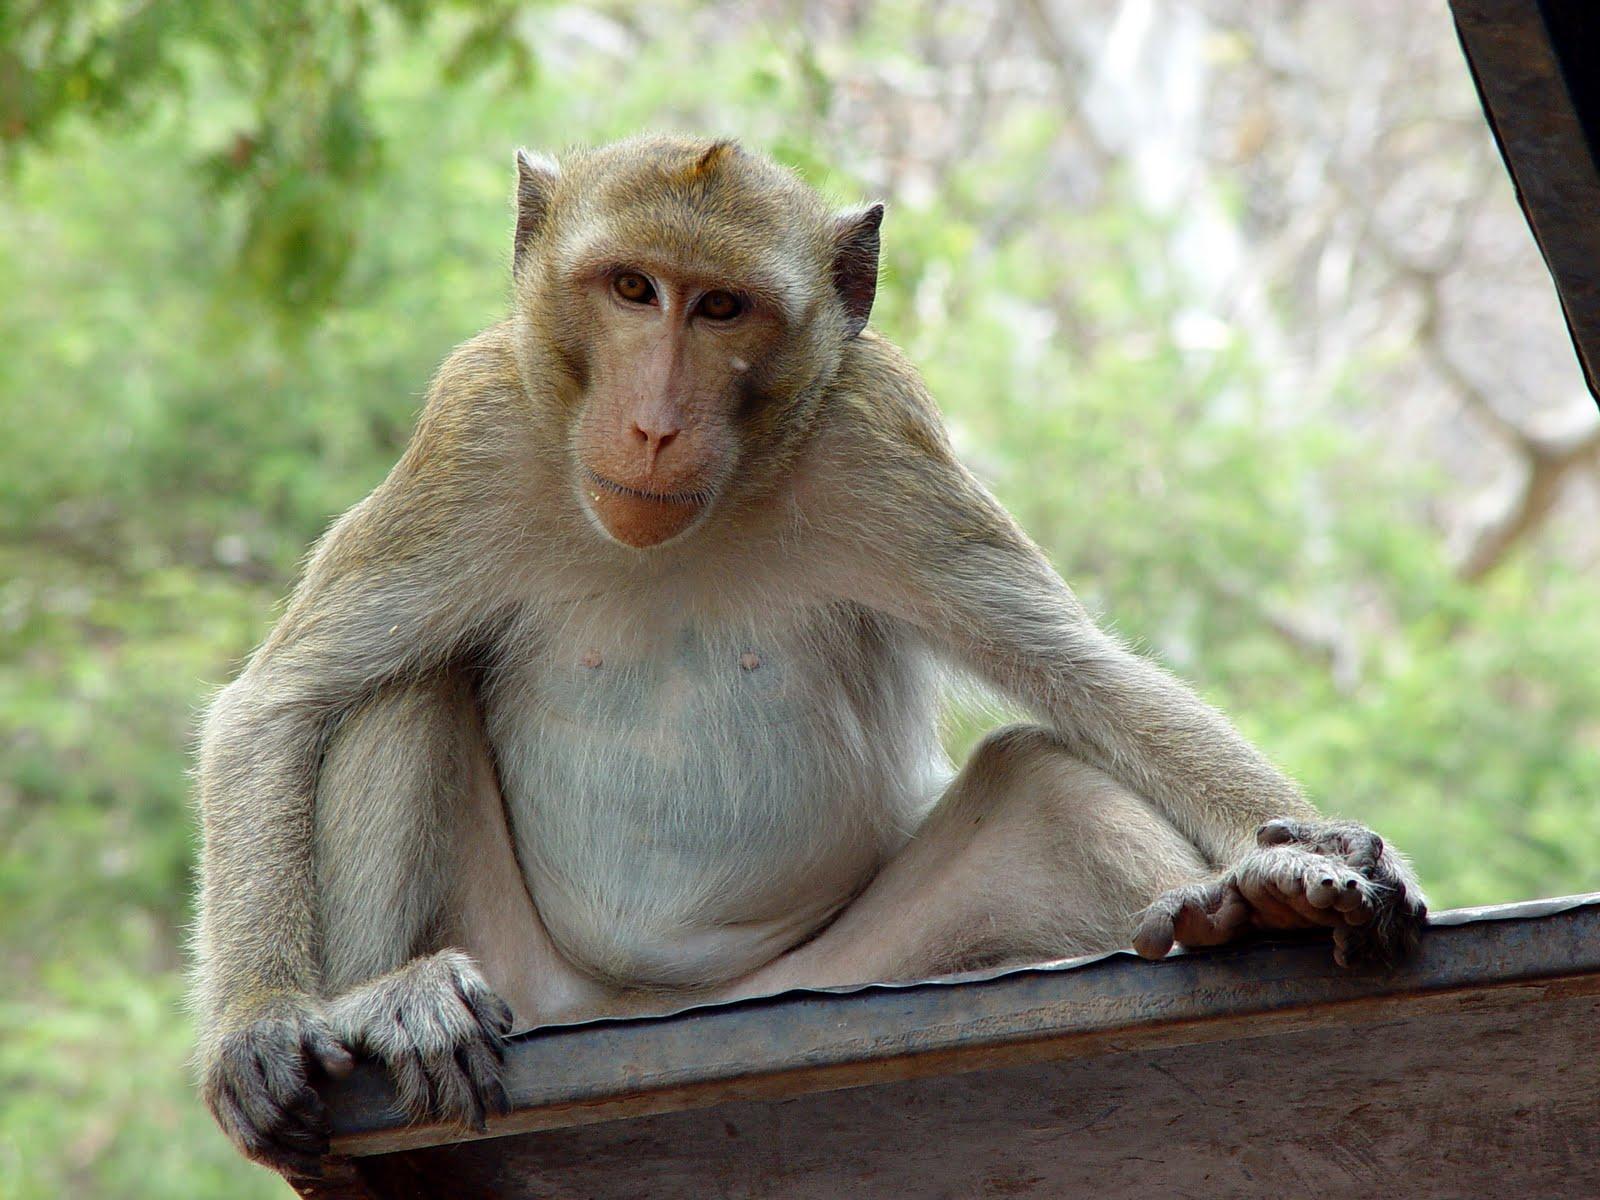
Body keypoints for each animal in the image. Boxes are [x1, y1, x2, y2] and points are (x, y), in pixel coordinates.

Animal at [192, 135, 1426, 1177]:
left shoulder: (878, 438)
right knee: (395, 691)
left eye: (720, 308)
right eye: (631, 290)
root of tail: (635, 1021)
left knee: (1051, 790)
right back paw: (396, 1001)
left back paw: (1226, 916)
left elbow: (1084, 678)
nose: (652, 425)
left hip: (833, 975)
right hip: (531, 987)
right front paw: (260, 1022)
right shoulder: (475, 429)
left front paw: (1287, 871)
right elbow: (278, 705)